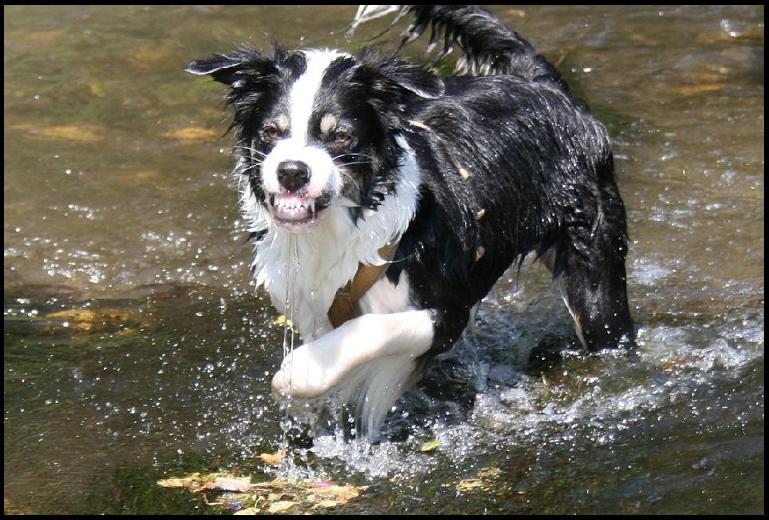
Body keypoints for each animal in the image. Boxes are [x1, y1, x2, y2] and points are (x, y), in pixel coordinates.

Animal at [184, 6, 632, 436]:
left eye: (340, 135)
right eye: (270, 132)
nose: (292, 172)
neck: (343, 226)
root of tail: (546, 86)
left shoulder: (446, 312)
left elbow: (369, 331)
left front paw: (299, 374)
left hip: (596, 281)